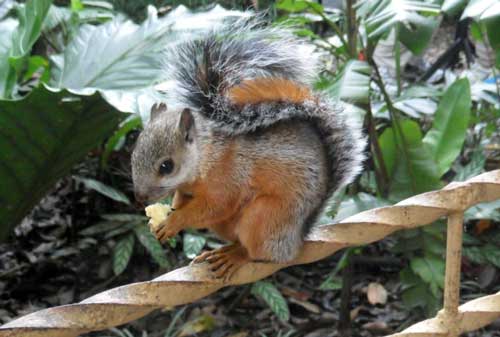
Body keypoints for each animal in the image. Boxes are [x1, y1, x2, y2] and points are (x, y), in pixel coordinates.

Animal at [131, 19, 366, 280]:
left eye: (166, 166)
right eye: (134, 154)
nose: (139, 197)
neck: (205, 156)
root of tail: (296, 240)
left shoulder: (228, 178)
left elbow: (217, 205)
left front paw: (175, 220)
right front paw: (173, 207)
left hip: (263, 218)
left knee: (258, 252)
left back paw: (236, 256)